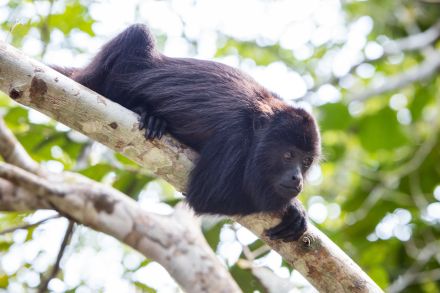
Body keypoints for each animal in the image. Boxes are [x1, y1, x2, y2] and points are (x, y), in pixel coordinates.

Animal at [53, 24, 322, 241]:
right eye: (288, 155)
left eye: (306, 162)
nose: (297, 178)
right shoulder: (234, 136)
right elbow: (208, 195)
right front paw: (295, 208)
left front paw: (298, 213)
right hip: (95, 76)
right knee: (138, 34)